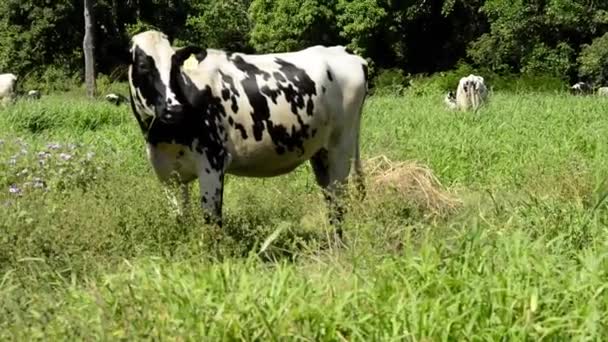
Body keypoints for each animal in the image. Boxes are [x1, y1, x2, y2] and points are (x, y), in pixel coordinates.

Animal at [126, 30, 368, 236]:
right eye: (142, 65)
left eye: (176, 66)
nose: (174, 109)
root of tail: (345, 52)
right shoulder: (168, 175)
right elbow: (179, 219)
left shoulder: (212, 163)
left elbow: (212, 222)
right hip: (320, 152)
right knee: (329, 200)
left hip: (341, 147)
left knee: (338, 203)